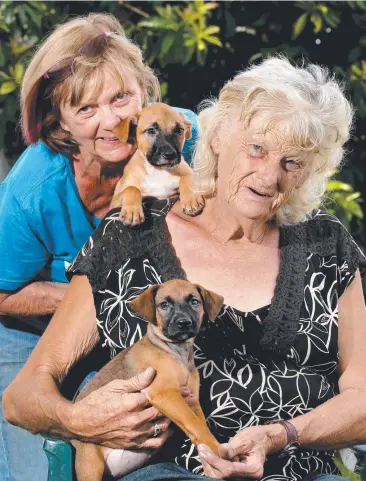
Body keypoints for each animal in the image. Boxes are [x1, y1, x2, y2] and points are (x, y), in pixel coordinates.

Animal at [71, 278, 223, 480]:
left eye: (194, 302)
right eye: (164, 305)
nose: (184, 323)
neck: (176, 352)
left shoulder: (192, 399)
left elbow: (199, 424)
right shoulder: (163, 392)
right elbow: (193, 422)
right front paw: (217, 449)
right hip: (90, 460)